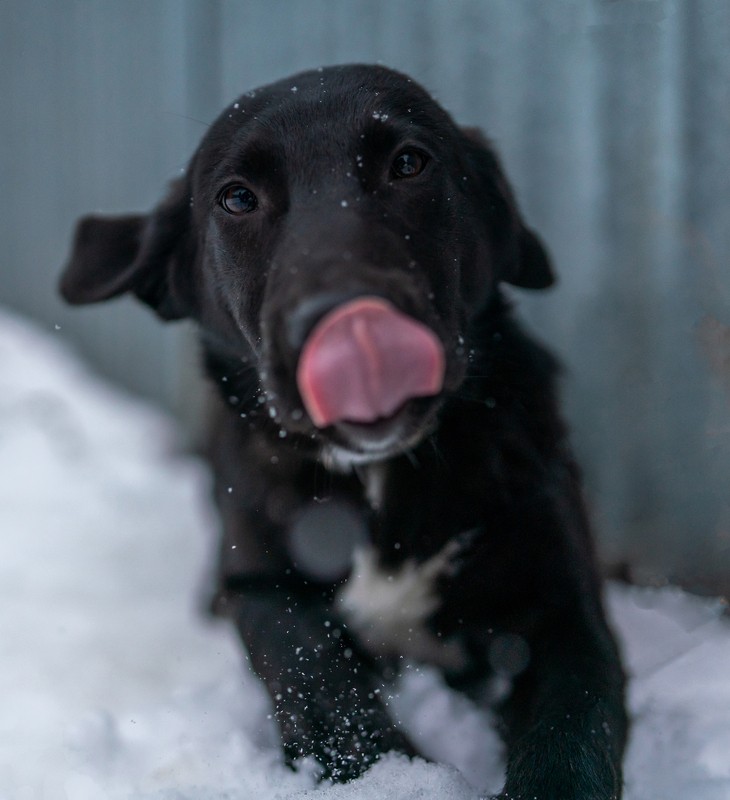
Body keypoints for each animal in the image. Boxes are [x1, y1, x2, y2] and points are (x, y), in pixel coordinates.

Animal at [59, 64, 624, 800]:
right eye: (237, 198)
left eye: (409, 163)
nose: (351, 324)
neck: (380, 477)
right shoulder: (259, 584)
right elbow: (315, 672)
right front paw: (393, 774)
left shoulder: (560, 603)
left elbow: (573, 722)